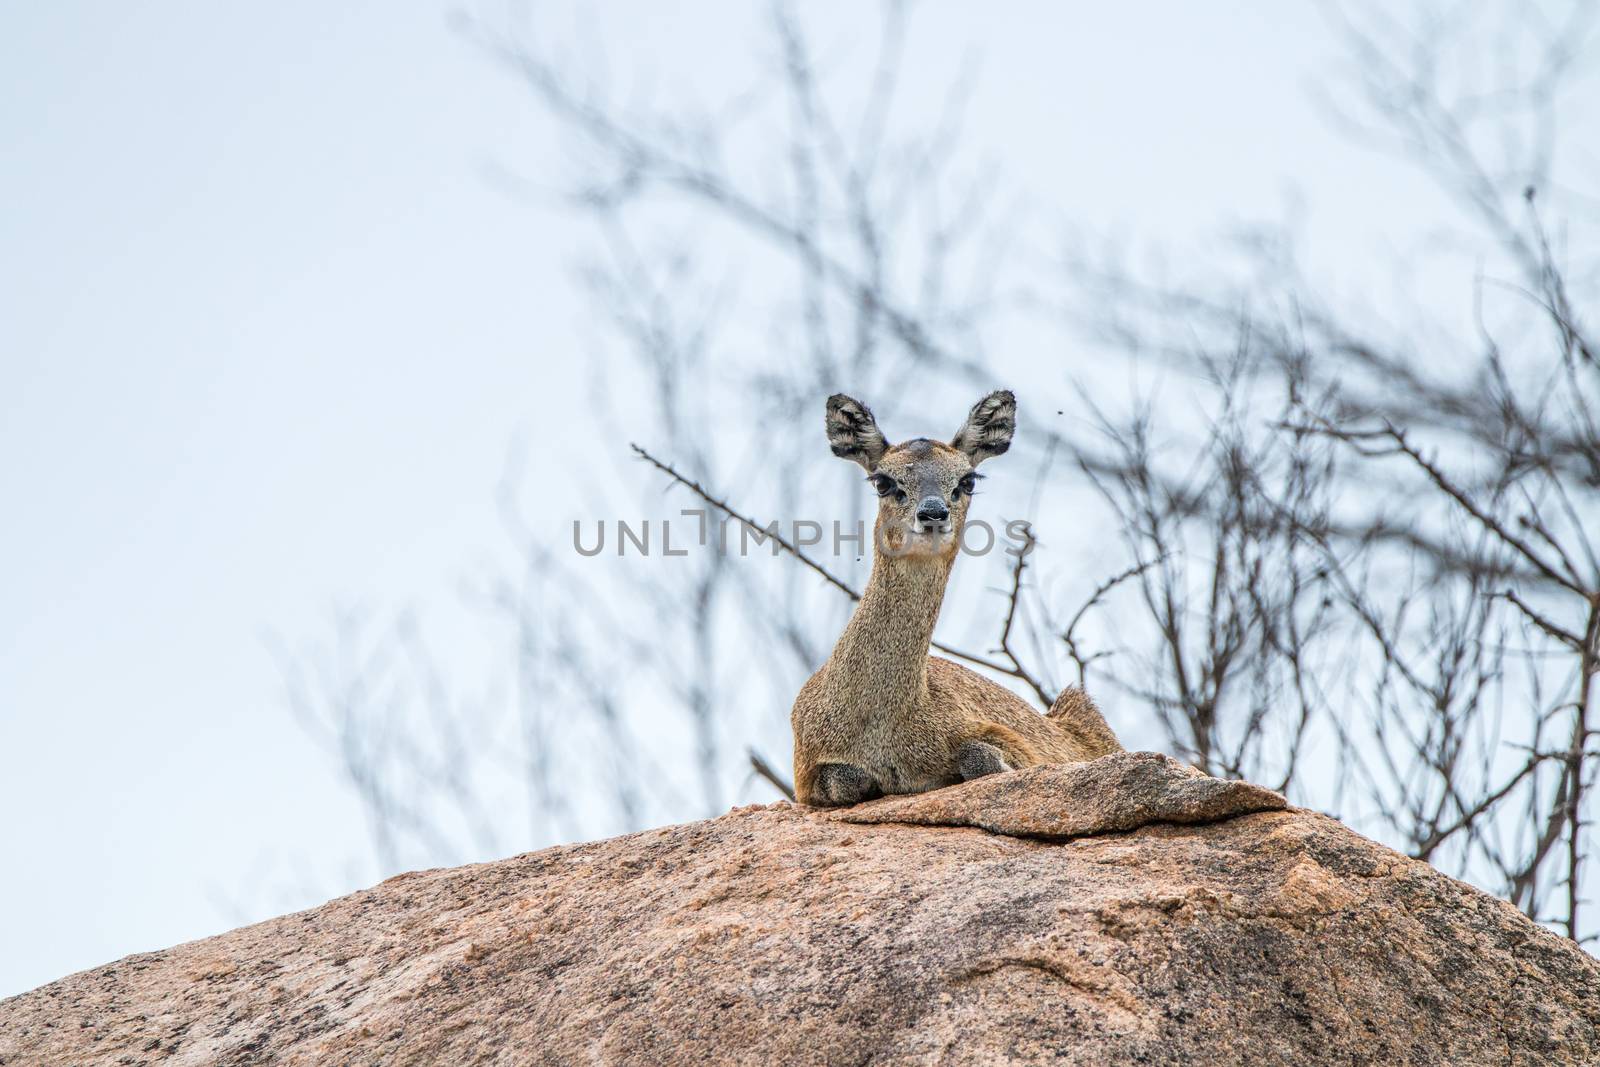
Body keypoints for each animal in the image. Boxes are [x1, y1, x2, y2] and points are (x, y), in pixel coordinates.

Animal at [790, 391, 1120, 809]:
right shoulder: (806, 773)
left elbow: (979, 755)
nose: (933, 513)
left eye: (968, 480)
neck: (880, 722)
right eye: (882, 480)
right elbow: (843, 780)